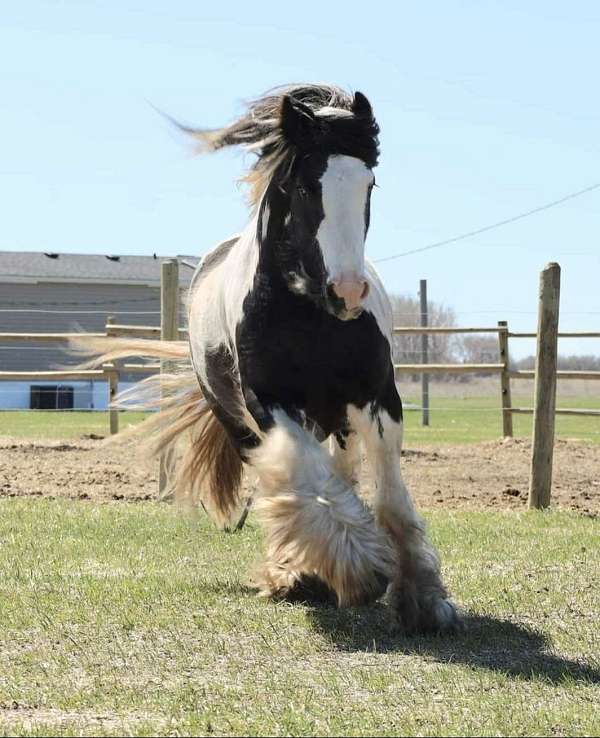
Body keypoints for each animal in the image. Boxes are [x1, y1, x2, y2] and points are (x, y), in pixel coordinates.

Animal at [91, 83, 462, 628]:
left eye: (369, 184)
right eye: (307, 187)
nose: (348, 292)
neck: (309, 315)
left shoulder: (379, 398)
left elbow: (390, 497)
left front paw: (425, 599)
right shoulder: (269, 404)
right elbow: (305, 480)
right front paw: (355, 570)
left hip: (338, 417)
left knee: (339, 469)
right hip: (242, 424)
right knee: (289, 482)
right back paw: (298, 571)